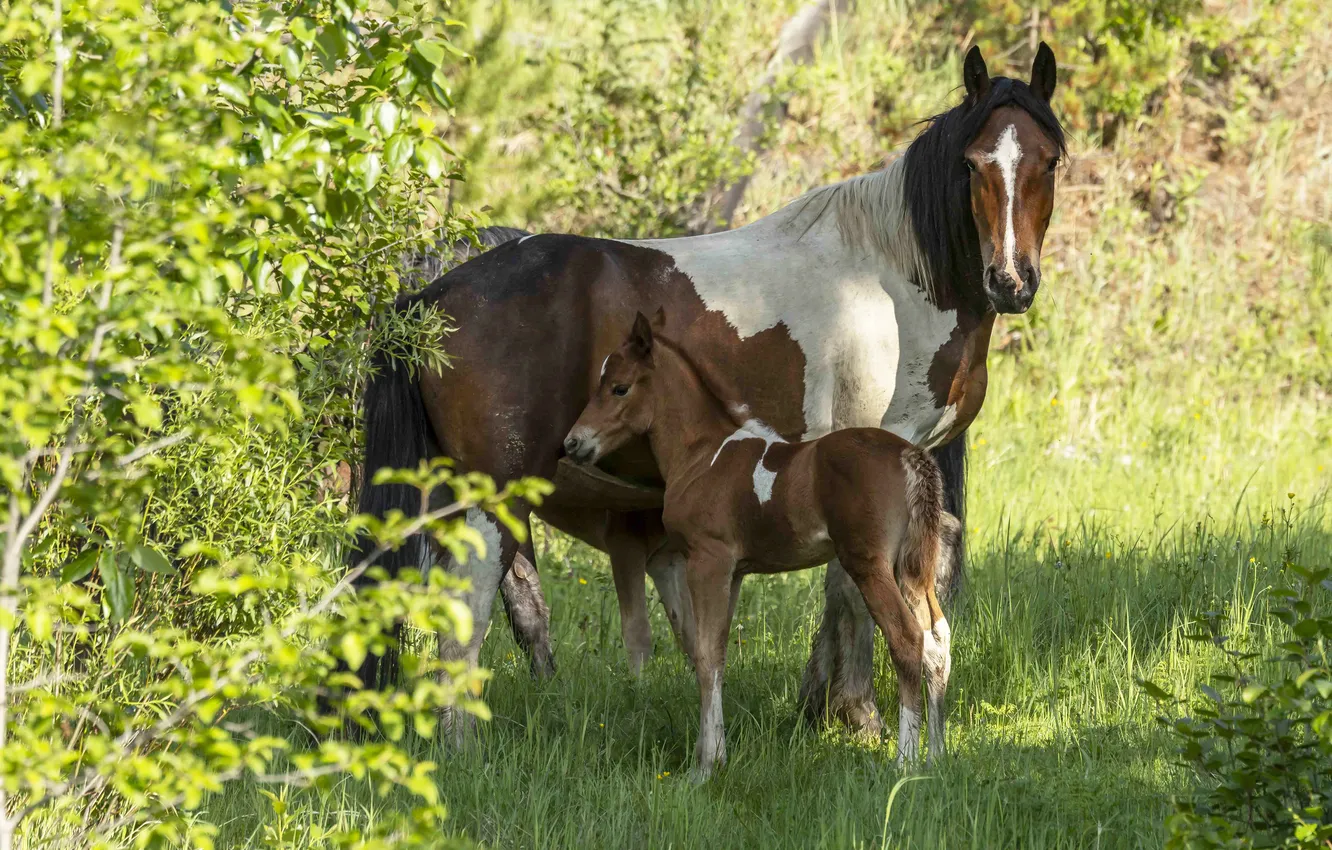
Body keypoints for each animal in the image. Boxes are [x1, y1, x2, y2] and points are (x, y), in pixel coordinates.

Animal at [565, 311, 962, 778]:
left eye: (620, 387)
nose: (573, 443)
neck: (703, 456)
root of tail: (911, 457)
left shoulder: (708, 560)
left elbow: (703, 656)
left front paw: (704, 767)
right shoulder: (735, 571)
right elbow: (718, 654)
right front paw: (715, 753)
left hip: (869, 564)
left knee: (907, 639)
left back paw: (906, 760)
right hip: (913, 567)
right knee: (937, 640)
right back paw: (936, 755)